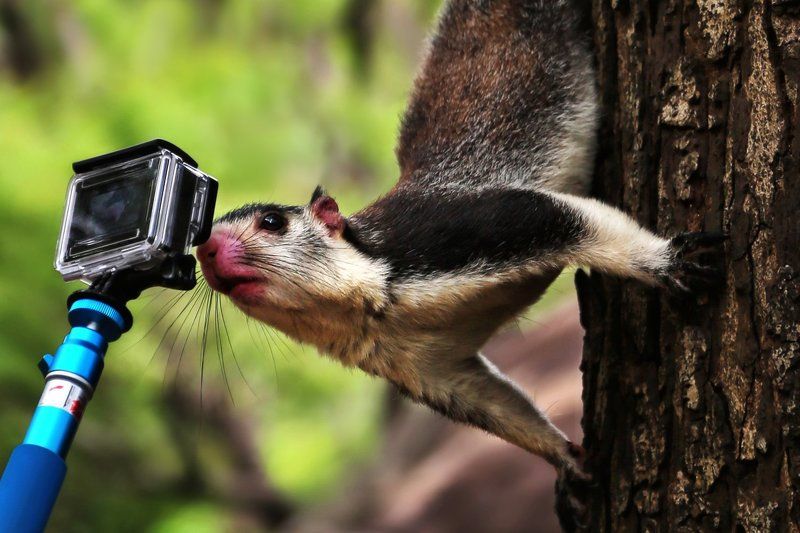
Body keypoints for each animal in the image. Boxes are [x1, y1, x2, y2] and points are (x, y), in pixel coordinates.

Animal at [197, 0, 722, 524]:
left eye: (272, 222)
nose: (205, 248)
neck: (372, 304)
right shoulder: (426, 369)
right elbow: (491, 404)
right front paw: (570, 463)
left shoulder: (463, 231)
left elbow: (568, 218)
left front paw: (671, 262)